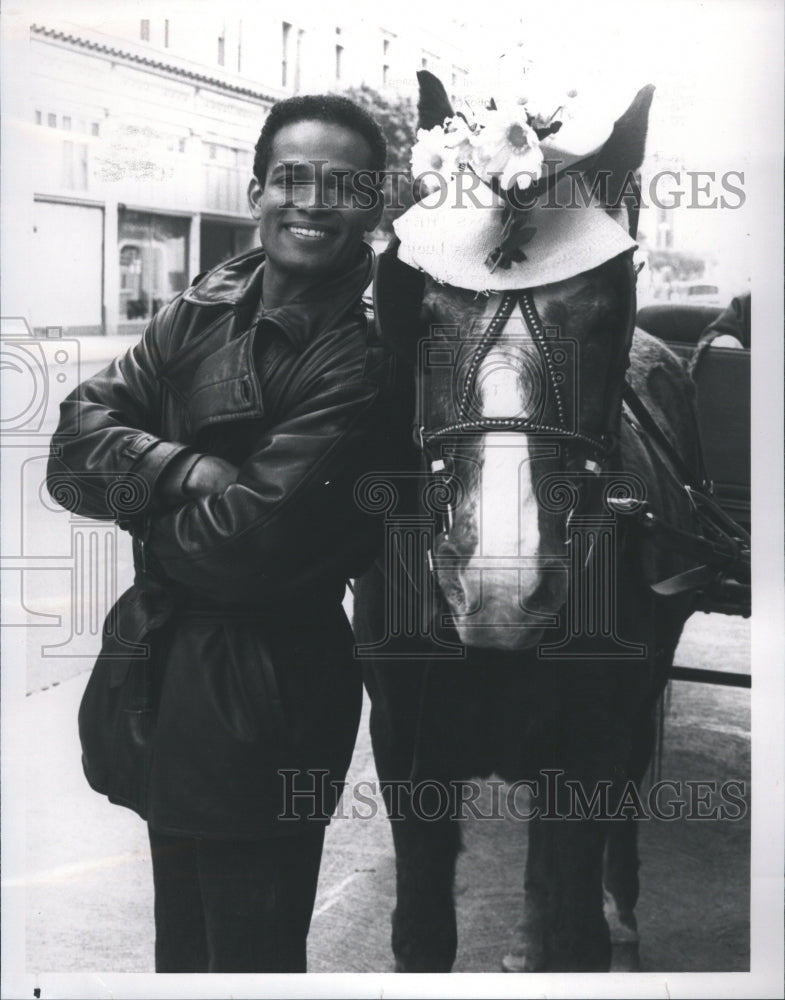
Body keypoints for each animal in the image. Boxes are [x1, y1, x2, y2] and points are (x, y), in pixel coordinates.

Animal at [352, 70, 700, 968]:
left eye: (609, 309)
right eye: (420, 309)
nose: (497, 591)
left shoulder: (585, 756)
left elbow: (579, 923)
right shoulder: (409, 757)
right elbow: (421, 931)